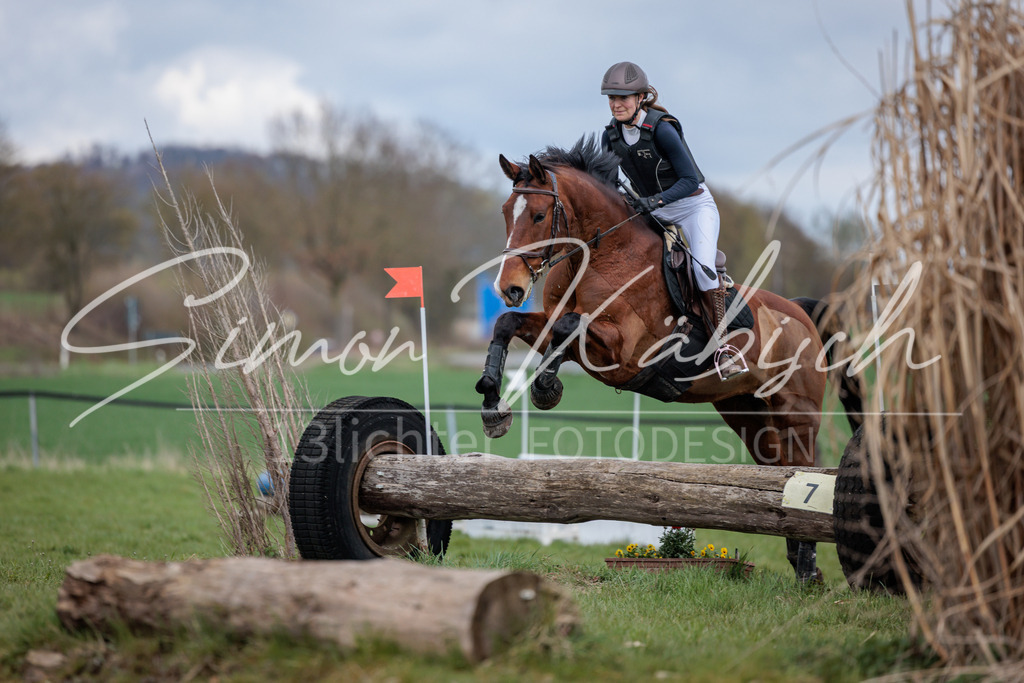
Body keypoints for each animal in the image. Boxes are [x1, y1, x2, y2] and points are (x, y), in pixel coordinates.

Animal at [474, 136, 863, 582]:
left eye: (539, 215)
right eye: (506, 213)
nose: (510, 288)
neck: (598, 255)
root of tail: (801, 312)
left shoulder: (625, 350)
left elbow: (568, 326)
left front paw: (545, 387)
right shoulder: (560, 328)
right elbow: (511, 324)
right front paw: (492, 403)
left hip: (797, 413)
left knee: (803, 473)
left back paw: (807, 570)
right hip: (748, 414)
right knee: (776, 473)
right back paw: (802, 567)